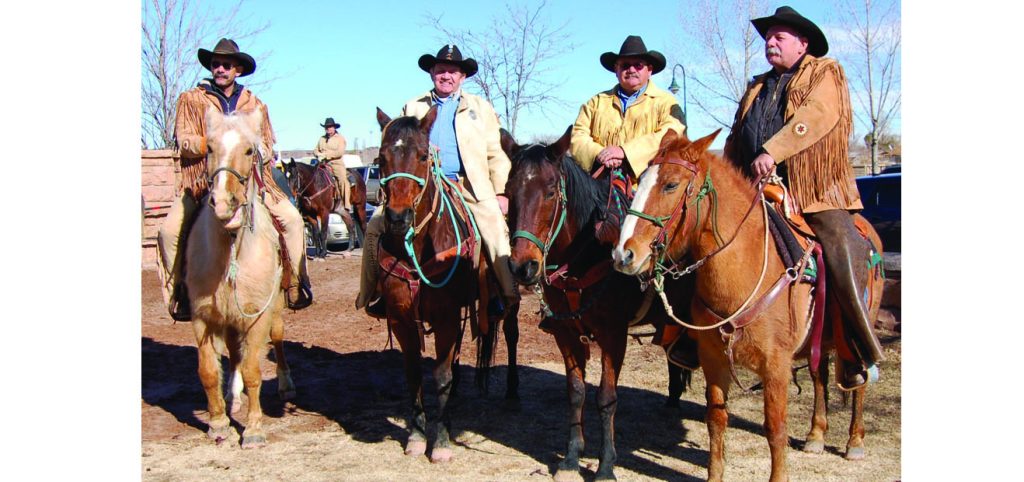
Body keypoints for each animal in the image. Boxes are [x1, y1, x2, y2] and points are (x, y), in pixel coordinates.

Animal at [183, 108, 296, 448]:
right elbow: (208, 371)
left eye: (249, 151)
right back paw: (232, 397)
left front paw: (254, 429)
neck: (231, 252)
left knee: (277, 338)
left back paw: (285, 383)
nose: (223, 203)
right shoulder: (203, 316)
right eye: (208, 148)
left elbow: (252, 371)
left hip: (275, 308)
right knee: (233, 353)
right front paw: (219, 424)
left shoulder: (257, 315)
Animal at [374, 106, 518, 463]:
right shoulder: (402, 318)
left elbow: (440, 375)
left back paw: (512, 392)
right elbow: (414, 373)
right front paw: (416, 435)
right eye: (381, 157)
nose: (398, 218)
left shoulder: (445, 317)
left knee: (510, 335)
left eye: (423, 155)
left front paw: (438, 442)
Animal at [504, 127, 695, 481]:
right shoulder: (565, 333)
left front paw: (606, 464)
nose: (523, 267)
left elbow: (606, 398)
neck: (588, 253)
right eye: (509, 192)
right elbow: (576, 391)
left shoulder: (613, 336)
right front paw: (571, 456)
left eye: (550, 192)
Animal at [613, 129, 884, 481]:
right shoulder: (713, 359)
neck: (746, 270)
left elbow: (776, 428)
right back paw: (815, 434)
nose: (623, 254)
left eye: (671, 185)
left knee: (857, 383)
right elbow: (716, 420)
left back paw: (854, 441)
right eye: (641, 179)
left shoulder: (776, 367)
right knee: (819, 375)